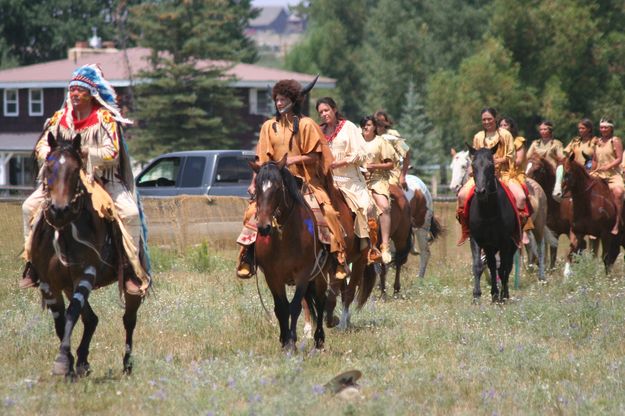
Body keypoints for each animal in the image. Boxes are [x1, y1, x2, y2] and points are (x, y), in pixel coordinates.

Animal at [30, 133, 143, 376]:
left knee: (128, 320)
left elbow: (72, 313)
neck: (64, 229)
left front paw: (62, 361)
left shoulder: (85, 274)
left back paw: (127, 364)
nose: (59, 210)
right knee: (91, 319)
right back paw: (82, 362)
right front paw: (69, 363)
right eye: (49, 167)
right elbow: (60, 321)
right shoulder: (48, 282)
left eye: (75, 170)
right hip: (66, 284)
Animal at [468, 145, 516, 302]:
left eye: (490, 165)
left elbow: (504, 268)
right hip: (490, 247)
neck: (488, 213)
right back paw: (494, 293)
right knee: (492, 265)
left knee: (506, 266)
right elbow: (478, 266)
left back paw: (503, 294)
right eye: (473, 165)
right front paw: (476, 295)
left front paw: (503, 296)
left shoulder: (506, 242)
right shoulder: (476, 239)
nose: (480, 191)